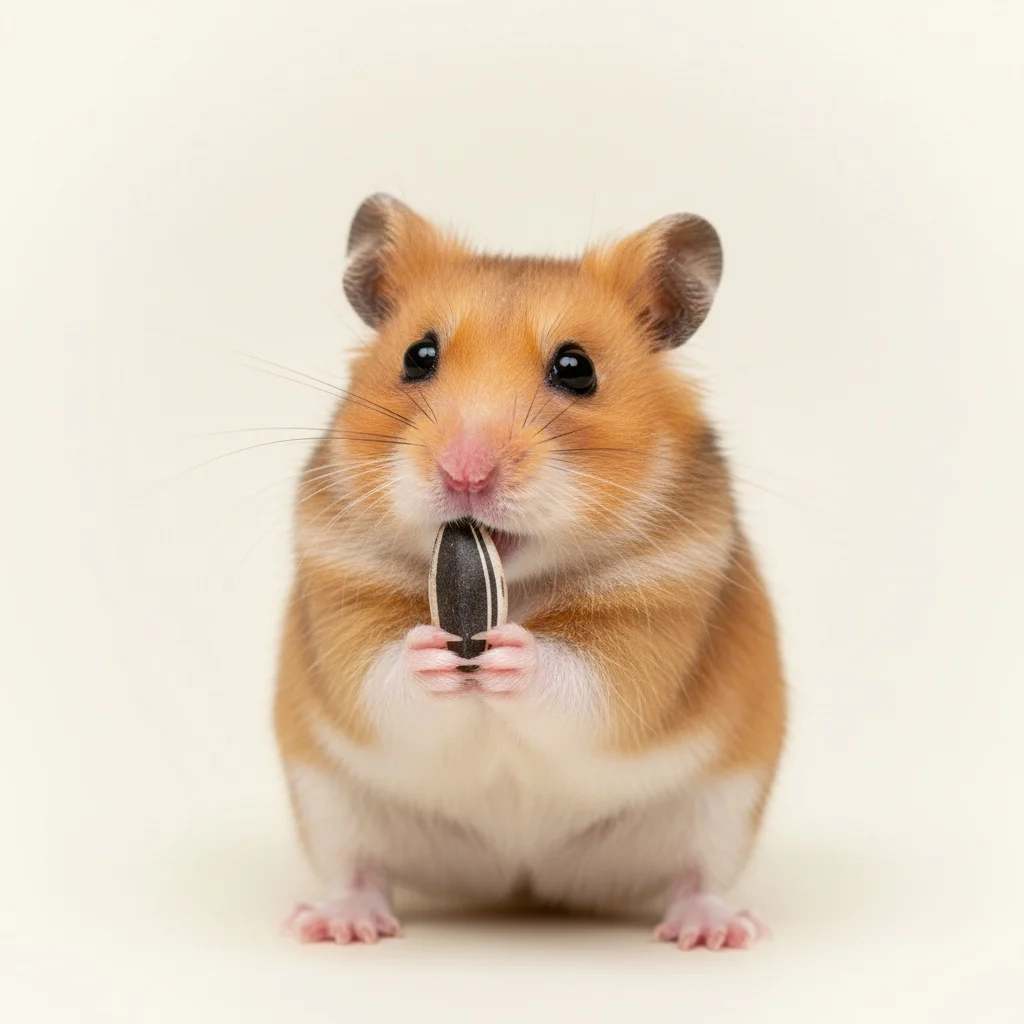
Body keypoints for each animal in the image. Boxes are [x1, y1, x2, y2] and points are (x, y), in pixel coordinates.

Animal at [274, 194, 786, 950]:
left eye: (576, 368)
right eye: (417, 356)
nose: (465, 472)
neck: (520, 584)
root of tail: (521, 877)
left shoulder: (657, 624)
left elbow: (585, 682)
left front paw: (512, 653)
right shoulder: (340, 594)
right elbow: (381, 676)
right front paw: (436, 649)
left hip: (725, 805)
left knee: (697, 875)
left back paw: (713, 932)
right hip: (327, 800)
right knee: (357, 869)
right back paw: (337, 923)